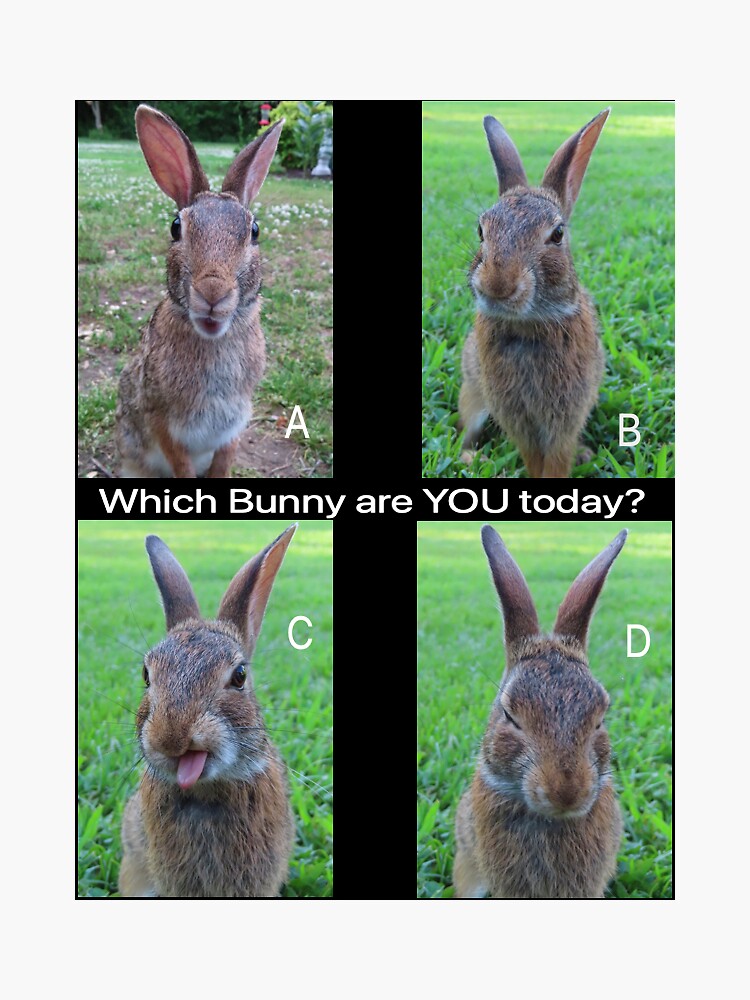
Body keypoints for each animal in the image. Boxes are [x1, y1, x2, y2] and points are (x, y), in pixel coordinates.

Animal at [115, 104, 283, 478]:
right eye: (176, 227)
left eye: (254, 230)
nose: (212, 291)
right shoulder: (160, 418)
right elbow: (180, 461)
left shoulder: (234, 425)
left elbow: (224, 460)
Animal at [458, 109, 610, 478]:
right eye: (481, 229)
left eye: (557, 234)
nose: (497, 284)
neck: (529, 323)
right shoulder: (514, 413)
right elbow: (532, 456)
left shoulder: (568, 413)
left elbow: (556, 456)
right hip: (472, 397)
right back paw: (476, 460)